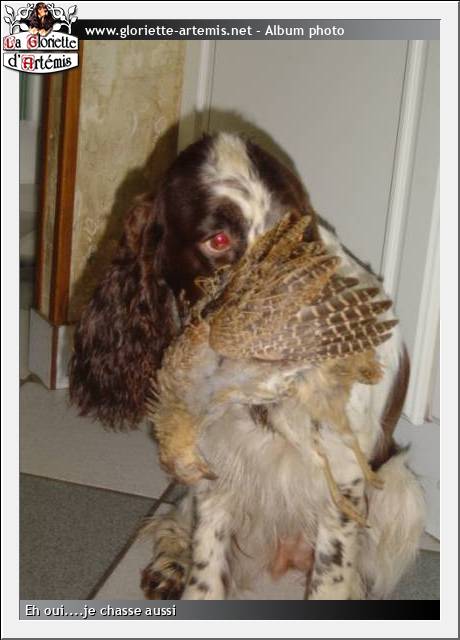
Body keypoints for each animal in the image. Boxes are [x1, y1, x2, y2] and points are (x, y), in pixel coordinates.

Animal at [69, 132, 425, 599]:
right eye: (218, 241)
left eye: (297, 232)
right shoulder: (213, 466)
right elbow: (206, 567)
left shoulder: (344, 481)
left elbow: (331, 576)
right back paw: (171, 565)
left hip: (400, 487)